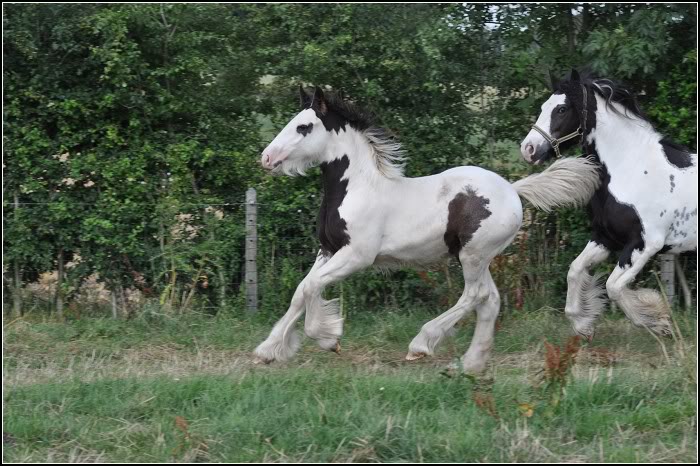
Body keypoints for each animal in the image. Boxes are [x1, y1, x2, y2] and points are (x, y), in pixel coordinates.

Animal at [254, 85, 600, 374]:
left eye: (304, 127)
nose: (267, 158)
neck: (357, 188)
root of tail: (513, 190)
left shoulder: (356, 256)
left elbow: (311, 288)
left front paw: (328, 338)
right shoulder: (327, 251)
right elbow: (301, 291)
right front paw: (267, 350)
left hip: (473, 255)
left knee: (475, 294)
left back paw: (421, 344)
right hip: (478, 257)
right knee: (490, 300)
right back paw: (471, 363)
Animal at [520, 70, 696, 338]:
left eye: (561, 109)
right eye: (542, 107)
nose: (528, 149)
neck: (632, 169)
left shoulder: (645, 244)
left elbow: (613, 287)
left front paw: (659, 321)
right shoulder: (605, 238)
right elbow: (575, 270)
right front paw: (583, 325)